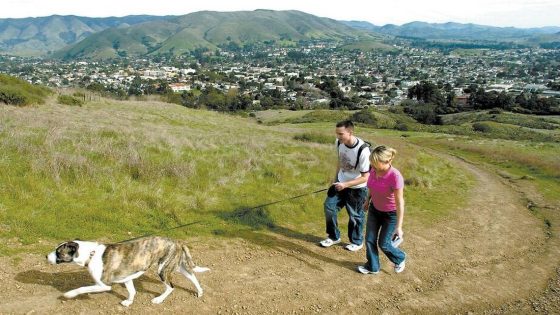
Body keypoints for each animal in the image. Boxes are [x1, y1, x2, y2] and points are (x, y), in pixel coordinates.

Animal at [46, 237, 210, 308]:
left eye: (58, 252)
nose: (46, 256)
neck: (91, 254)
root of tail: (178, 242)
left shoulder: (103, 285)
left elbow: (82, 288)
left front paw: (69, 294)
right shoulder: (127, 277)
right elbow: (132, 291)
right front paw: (129, 302)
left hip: (162, 270)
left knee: (171, 287)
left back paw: (158, 300)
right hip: (176, 266)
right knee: (192, 276)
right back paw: (200, 292)